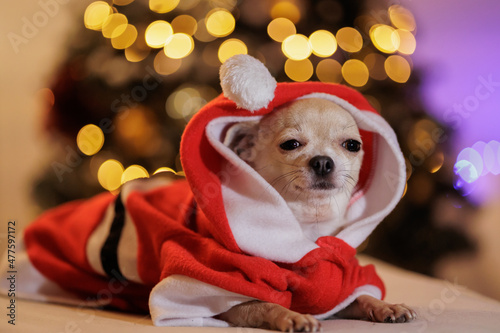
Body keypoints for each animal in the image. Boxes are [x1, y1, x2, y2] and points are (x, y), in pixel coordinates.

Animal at [221, 98, 416, 330]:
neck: (310, 222)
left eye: (352, 145)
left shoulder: (338, 296)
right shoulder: (234, 302)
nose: (323, 161)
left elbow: (360, 297)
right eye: (290, 144)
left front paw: (385, 305)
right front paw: (293, 316)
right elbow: (267, 304)